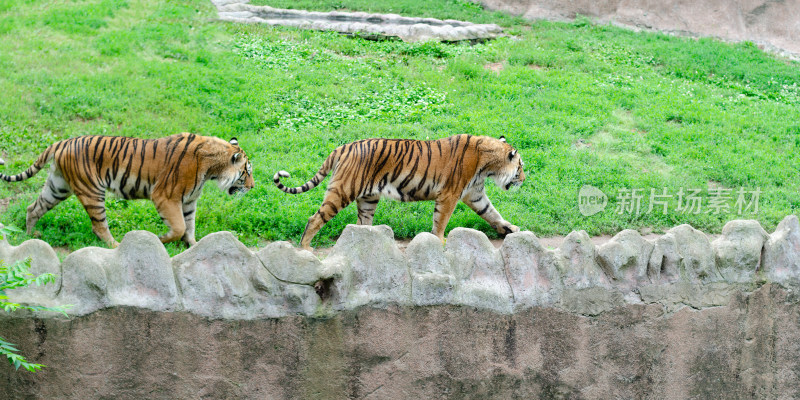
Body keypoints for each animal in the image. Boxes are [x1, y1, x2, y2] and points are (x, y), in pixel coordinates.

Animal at [0, 133, 253, 247]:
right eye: (247, 171)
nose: (252, 187)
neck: (212, 168)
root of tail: (62, 141)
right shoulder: (165, 197)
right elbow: (179, 227)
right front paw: (161, 240)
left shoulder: (189, 201)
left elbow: (189, 226)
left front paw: (194, 246)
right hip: (92, 191)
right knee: (99, 225)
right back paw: (116, 245)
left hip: (57, 187)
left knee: (33, 207)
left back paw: (31, 234)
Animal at [276, 134, 524, 250]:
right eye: (520, 167)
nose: (523, 179)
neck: (488, 166)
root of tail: (343, 147)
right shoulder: (450, 195)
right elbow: (441, 221)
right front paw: (439, 240)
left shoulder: (475, 194)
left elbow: (492, 213)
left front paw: (511, 229)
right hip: (342, 191)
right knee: (314, 218)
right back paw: (305, 248)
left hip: (368, 199)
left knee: (361, 224)